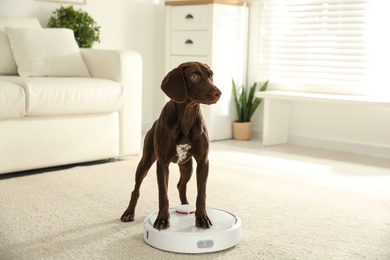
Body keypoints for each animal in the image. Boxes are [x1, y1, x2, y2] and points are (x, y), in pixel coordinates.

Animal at [120, 62, 221, 230]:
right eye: (194, 76)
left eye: (210, 75)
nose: (218, 93)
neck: (186, 116)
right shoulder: (162, 164)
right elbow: (163, 195)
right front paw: (162, 219)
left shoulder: (202, 162)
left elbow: (201, 193)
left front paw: (202, 217)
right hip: (145, 162)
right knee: (136, 189)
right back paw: (129, 213)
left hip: (187, 167)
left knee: (181, 186)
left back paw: (186, 206)